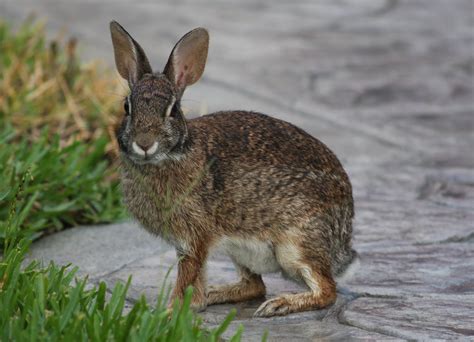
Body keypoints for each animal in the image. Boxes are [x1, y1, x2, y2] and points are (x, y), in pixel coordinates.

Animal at [109, 21, 358, 318]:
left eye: (173, 110)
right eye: (127, 107)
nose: (144, 143)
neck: (175, 154)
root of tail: (343, 241)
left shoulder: (194, 238)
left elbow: (187, 276)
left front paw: (168, 312)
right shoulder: (194, 243)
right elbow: (195, 280)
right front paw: (189, 305)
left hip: (296, 245)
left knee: (327, 290)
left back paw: (279, 304)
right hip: (240, 250)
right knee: (255, 286)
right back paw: (219, 293)